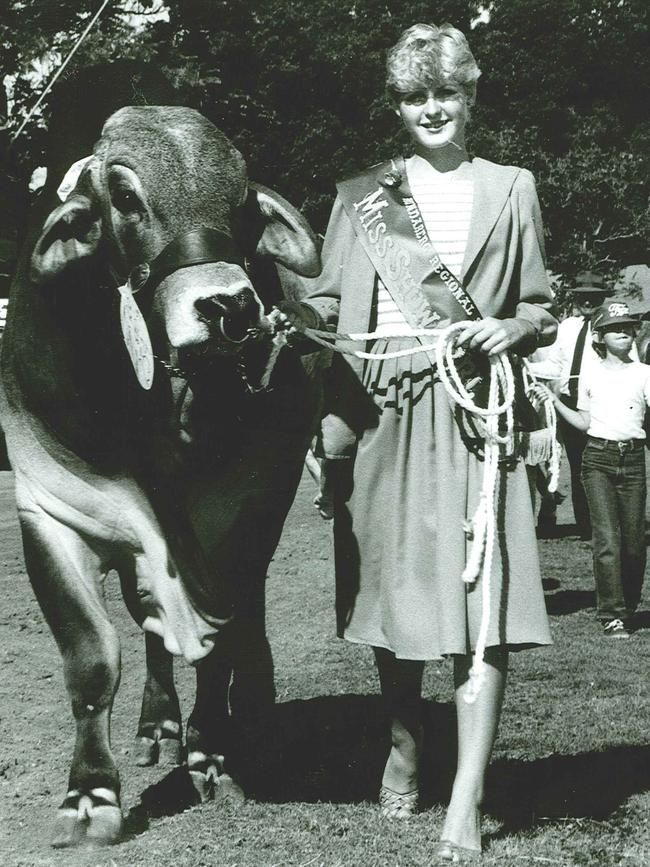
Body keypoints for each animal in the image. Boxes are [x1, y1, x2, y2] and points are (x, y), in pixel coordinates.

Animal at [0, 107, 322, 848]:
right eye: (124, 196)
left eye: (242, 201)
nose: (230, 308)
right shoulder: (51, 508)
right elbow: (92, 654)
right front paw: (89, 795)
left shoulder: (246, 507)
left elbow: (221, 635)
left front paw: (211, 756)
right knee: (149, 622)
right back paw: (156, 726)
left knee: (245, 613)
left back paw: (248, 709)